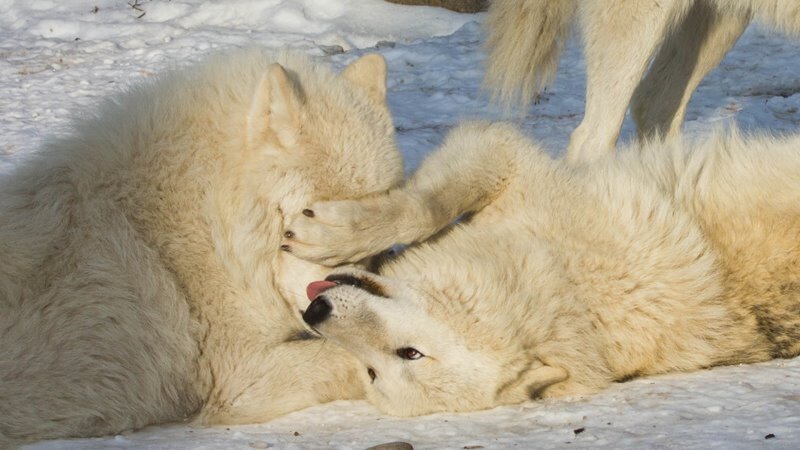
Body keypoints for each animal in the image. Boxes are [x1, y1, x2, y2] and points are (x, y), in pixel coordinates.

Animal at [283, 121, 800, 416]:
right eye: (372, 372)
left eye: (408, 356)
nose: (317, 313)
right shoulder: (508, 161)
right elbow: (427, 205)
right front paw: (333, 236)